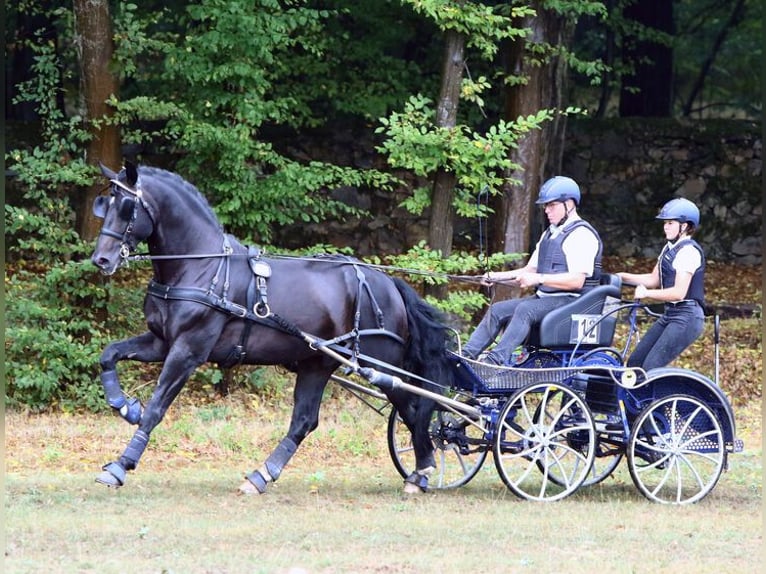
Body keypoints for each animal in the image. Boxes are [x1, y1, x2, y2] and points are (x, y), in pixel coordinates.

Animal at [89, 161, 453, 494]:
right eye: (104, 204)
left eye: (126, 207)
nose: (101, 260)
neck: (201, 267)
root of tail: (389, 284)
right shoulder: (161, 342)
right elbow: (109, 355)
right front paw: (124, 405)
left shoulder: (188, 350)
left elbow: (156, 407)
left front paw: (121, 465)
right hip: (317, 363)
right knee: (305, 421)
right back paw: (261, 476)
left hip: (381, 365)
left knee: (413, 407)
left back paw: (422, 471)